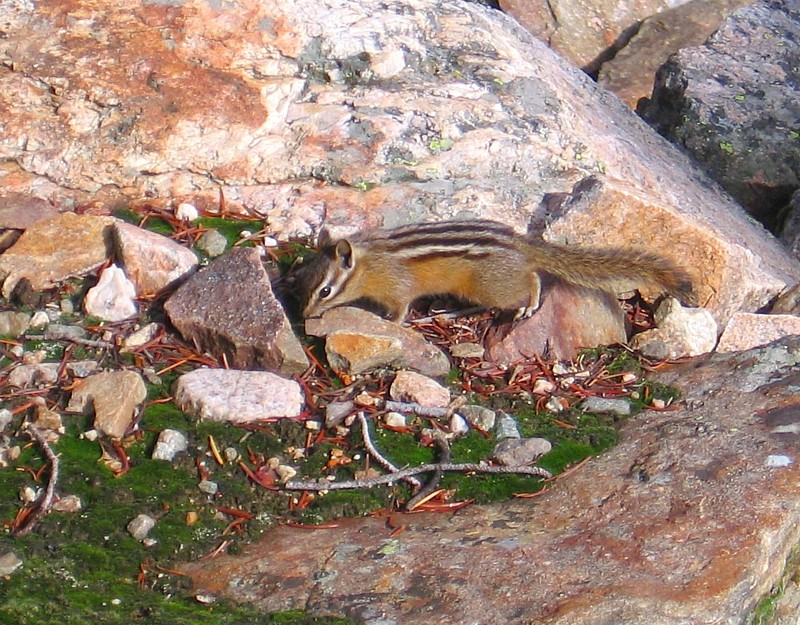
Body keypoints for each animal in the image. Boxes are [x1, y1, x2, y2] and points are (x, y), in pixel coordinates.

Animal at [294, 219, 694, 322]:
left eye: (325, 291)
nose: (306, 316)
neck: (368, 264)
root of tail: (522, 244)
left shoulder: (398, 288)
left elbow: (400, 309)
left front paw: (391, 322)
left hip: (489, 286)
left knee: (532, 280)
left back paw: (528, 306)